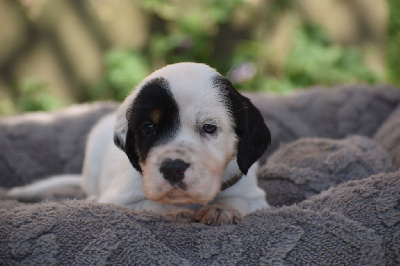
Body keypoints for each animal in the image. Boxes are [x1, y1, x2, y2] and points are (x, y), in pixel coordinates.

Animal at [8, 61, 272, 224]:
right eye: (149, 128)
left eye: (209, 127)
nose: (172, 168)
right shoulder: (117, 200)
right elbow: (147, 205)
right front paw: (174, 210)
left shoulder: (254, 195)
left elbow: (240, 200)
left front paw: (221, 209)